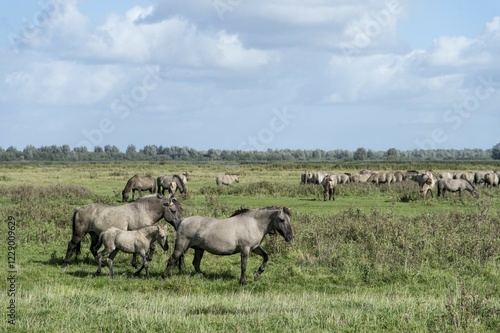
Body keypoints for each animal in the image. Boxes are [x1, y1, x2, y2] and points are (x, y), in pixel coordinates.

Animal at [160, 205, 292, 282]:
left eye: (289, 220)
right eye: (282, 220)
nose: (290, 237)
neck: (254, 223)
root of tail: (182, 221)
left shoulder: (254, 248)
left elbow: (265, 256)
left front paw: (257, 273)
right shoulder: (245, 249)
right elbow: (243, 265)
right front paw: (243, 281)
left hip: (199, 249)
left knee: (196, 263)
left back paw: (202, 277)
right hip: (181, 246)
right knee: (172, 259)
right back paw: (164, 276)